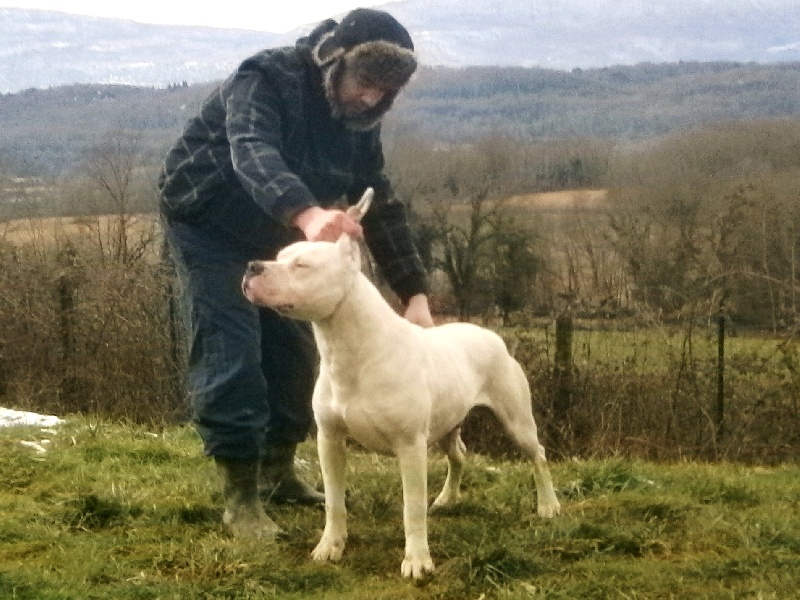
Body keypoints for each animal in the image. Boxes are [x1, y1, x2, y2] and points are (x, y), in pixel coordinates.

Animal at [242, 188, 560, 578]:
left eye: (302, 265)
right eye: (278, 257)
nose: (252, 266)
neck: (350, 351)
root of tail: (489, 334)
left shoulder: (410, 446)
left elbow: (412, 508)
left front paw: (417, 561)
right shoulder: (329, 441)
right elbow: (334, 501)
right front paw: (330, 546)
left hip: (516, 420)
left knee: (538, 454)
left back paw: (548, 505)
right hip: (447, 423)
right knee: (458, 455)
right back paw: (447, 498)